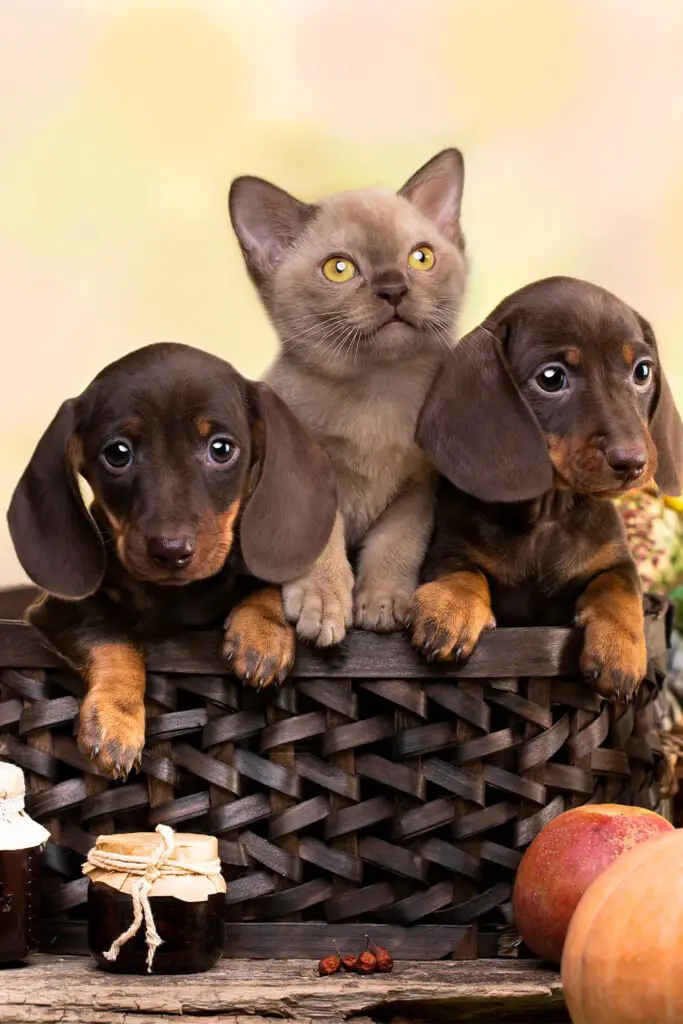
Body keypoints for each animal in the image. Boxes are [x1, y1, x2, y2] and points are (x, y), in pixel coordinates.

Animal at [5, 344, 335, 774]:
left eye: (221, 448)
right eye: (117, 454)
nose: (170, 549)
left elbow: (264, 581)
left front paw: (263, 631)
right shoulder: (57, 611)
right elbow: (112, 637)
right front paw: (116, 717)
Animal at [228, 149, 464, 647]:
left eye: (421, 258)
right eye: (340, 268)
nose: (394, 289)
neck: (378, 392)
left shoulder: (416, 491)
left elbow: (397, 547)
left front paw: (384, 603)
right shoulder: (306, 484)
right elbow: (322, 545)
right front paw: (323, 606)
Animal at [409, 276, 683, 700]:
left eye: (642, 372)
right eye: (551, 378)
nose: (633, 462)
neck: (549, 513)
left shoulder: (616, 561)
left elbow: (620, 587)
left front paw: (619, 649)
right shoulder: (447, 547)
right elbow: (461, 570)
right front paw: (449, 609)